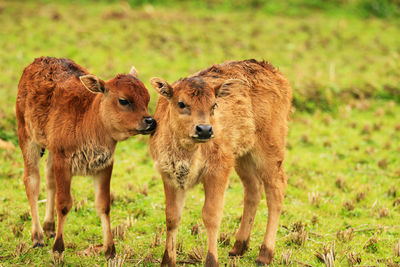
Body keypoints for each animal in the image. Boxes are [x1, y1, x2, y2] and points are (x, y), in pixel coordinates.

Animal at [148, 59, 292, 266]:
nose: (204, 129)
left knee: (276, 189)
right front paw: (167, 261)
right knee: (253, 189)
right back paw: (238, 247)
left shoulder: (217, 170)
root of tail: (272, 71)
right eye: (181, 103)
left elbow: (211, 215)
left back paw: (264, 254)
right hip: (243, 156)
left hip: (269, 150)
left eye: (214, 105)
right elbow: (172, 216)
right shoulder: (169, 175)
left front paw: (211, 260)